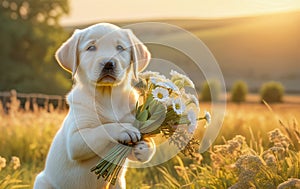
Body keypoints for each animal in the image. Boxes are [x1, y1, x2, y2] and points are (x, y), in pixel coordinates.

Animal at [34, 22, 156, 188]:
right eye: (91, 47)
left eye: (120, 47)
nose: (108, 64)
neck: (107, 97)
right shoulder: (75, 140)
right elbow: (101, 129)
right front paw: (123, 129)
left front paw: (145, 147)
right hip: (42, 181)